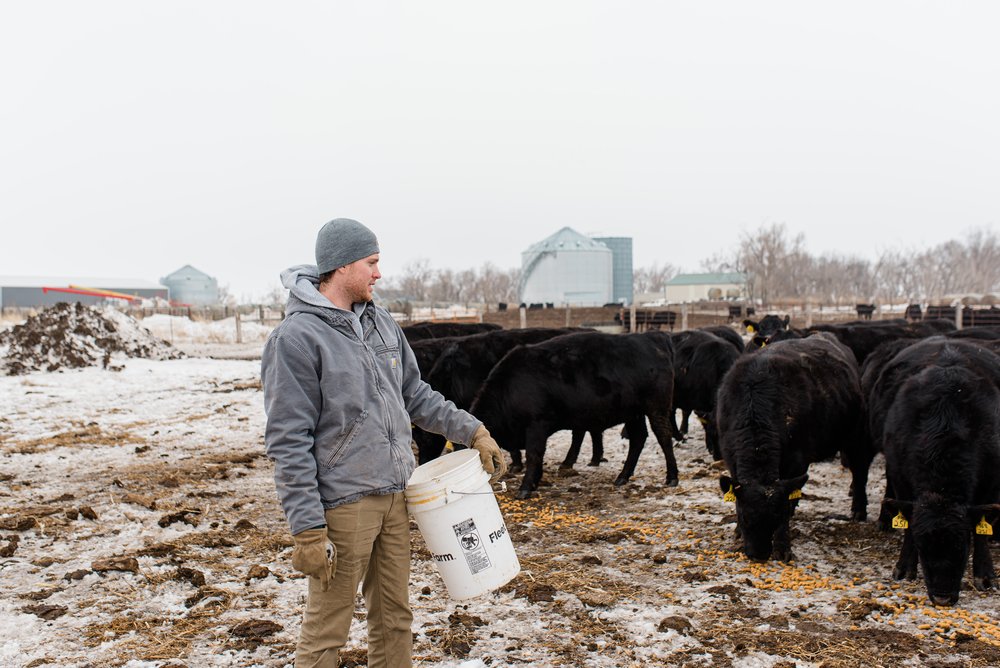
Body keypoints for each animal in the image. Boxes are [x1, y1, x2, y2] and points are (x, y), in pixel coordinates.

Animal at [470, 332, 676, 498]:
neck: (509, 388)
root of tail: (652, 337)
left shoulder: (536, 425)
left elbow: (534, 455)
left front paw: (526, 488)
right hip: (633, 414)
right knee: (638, 439)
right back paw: (622, 477)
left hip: (656, 409)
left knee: (664, 436)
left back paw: (672, 477)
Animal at [716, 334, 872, 564]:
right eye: (745, 516)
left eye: (775, 516)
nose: (759, 554)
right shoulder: (731, 459)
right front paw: (737, 531)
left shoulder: (797, 461)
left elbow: (787, 504)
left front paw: (782, 548)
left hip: (855, 435)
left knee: (859, 470)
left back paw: (859, 510)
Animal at [876, 340, 1000, 604]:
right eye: (923, 546)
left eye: (962, 545)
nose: (942, 598)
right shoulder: (899, 475)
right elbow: (907, 523)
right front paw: (904, 567)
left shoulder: (992, 480)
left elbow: (981, 531)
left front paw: (985, 575)